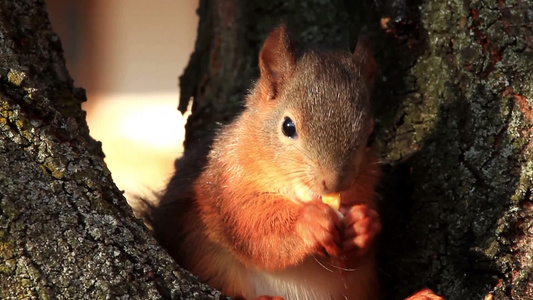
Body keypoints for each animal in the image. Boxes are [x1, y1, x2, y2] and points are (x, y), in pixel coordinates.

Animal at [150, 25, 440, 300]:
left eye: (372, 135)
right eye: (288, 126)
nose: (335, 183)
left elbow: (351, 260)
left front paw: (363, 224)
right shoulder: (226, 184)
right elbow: (250, 225)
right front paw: (310, 221)